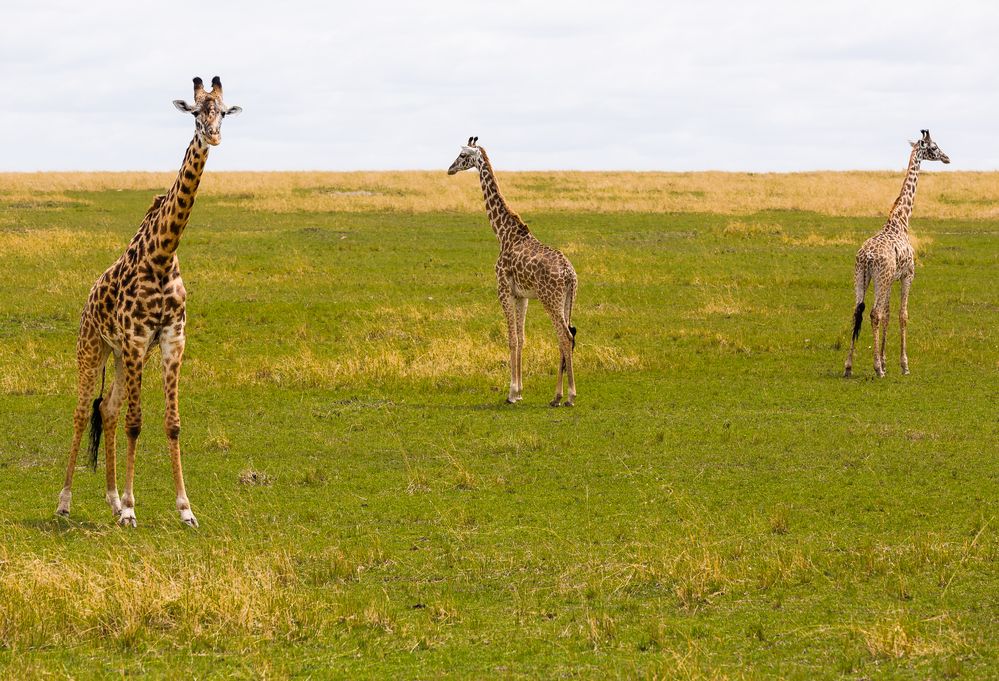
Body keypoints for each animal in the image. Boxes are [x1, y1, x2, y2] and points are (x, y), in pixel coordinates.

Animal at [55, 78, 241, 524]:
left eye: (224, 112)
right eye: (196, 111)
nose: (213, 136)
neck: (162, 254)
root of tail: (87, 301)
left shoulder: (172, 340)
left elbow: (171, 423)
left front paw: (185, 509)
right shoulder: (139, 340)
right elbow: (136, 422)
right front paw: (130, 510)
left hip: (121, 356)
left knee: (107, 409)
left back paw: (109, 498)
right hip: (93, 349)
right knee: (82, 411)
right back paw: (66, 502)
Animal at [448, 135, 580, 406]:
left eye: (463, 155)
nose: (450, 169)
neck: (503, 233)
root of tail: (570, 274)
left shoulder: (504, 291)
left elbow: (510, 338)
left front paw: (510, 393)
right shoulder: (522, 296)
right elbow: (521, 338)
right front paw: (519, 391)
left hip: (550, 299)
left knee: (564, 336)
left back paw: (566, 395)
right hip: (567, 299)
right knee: (568, 336)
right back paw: (559, 395)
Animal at [848, 130, 948, 380]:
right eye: (934, 147)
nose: (947, 158)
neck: (902, 220)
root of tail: (867, 257)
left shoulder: (892, 278)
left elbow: (888, 314)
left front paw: (885, 362)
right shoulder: (907, 275)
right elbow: (902, 314)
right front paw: (903, 365)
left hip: (862, 276)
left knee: (857, 311)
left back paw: (848, 366)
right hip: (880, 278)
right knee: (873, 313)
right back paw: (876, 369)